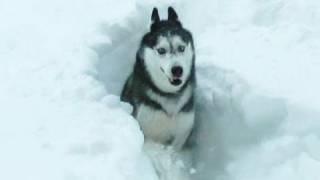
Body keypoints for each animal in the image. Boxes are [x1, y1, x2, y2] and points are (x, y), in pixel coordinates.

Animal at [120, 6, 195, 150]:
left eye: (181, 48)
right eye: (161, 50)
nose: (177, 70)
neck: (168, 94)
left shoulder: (183, 130)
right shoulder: (145, 130)